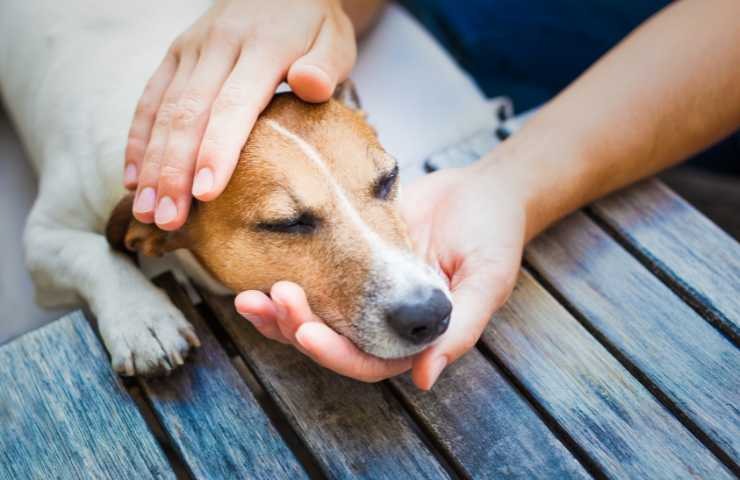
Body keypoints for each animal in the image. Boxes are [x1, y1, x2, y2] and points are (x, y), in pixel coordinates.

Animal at [0, 0, 450, 376]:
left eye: (389, 179)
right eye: (286, 224)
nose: (430, 313)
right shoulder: (43, 237)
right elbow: (93, 252)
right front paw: (142, 318)